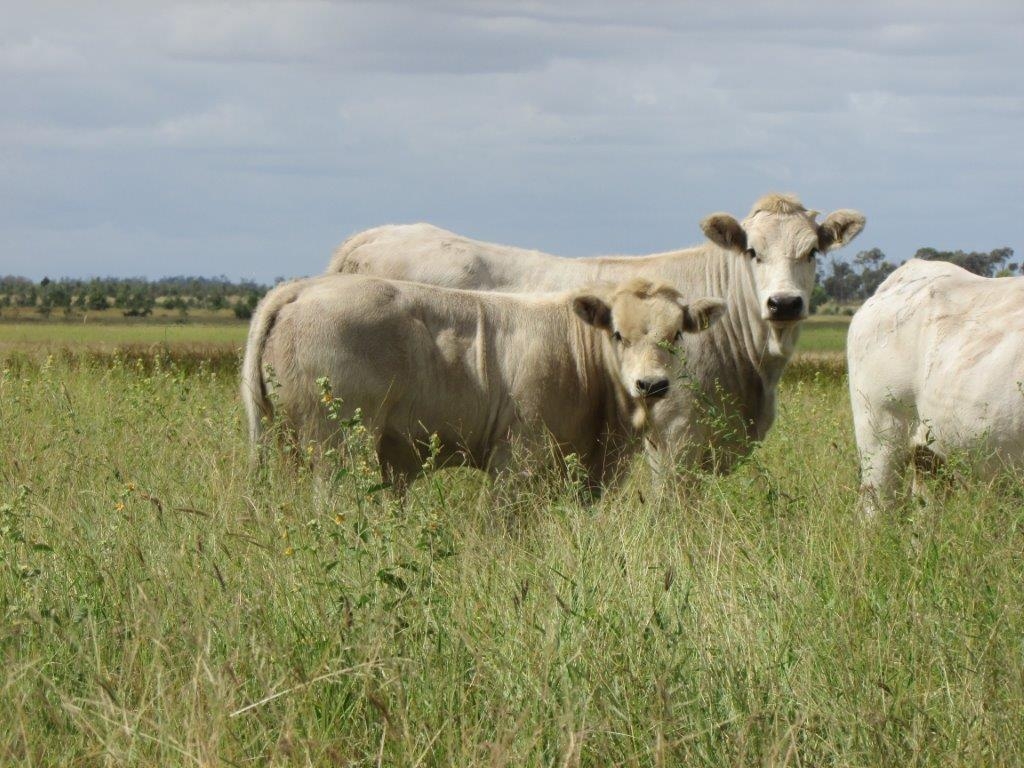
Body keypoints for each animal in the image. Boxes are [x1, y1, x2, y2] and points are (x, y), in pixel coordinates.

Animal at [239, 276, 724, 493]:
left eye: (676, 335)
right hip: (336, 443)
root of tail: (301, 288)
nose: (651, 385)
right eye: (618, 334)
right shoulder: (517, 457)